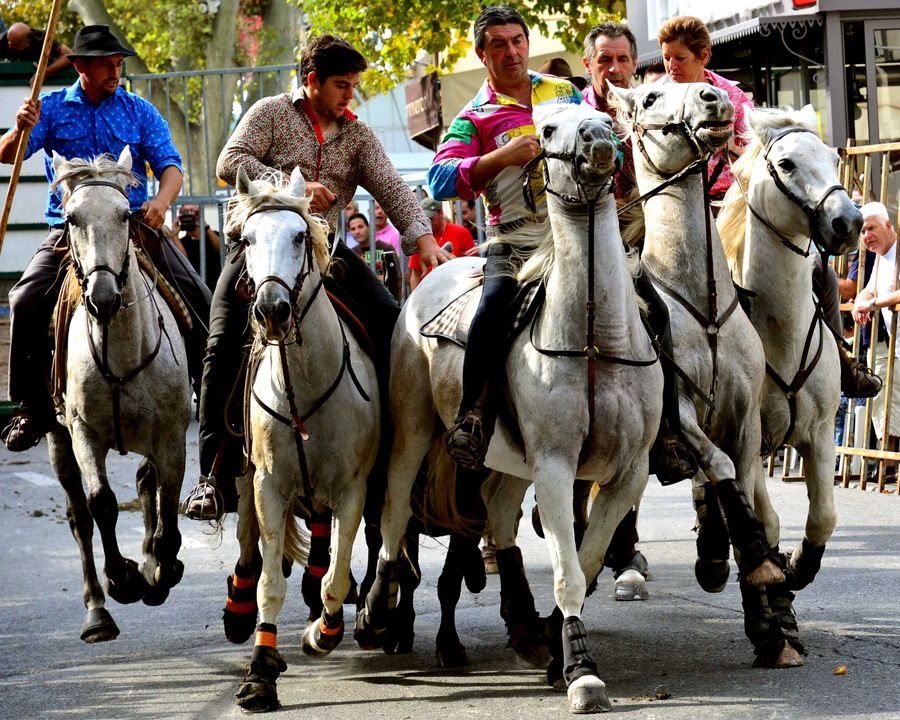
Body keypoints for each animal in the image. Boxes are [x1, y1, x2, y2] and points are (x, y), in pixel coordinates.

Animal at [48, 146, 192, 640]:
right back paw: (97, 608)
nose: (104, 297)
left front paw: (159, 569)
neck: (123, 356)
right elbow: (102, 504)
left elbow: (167, 508)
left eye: (125, 215)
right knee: (79, 517)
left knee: (147, 483)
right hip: (57, 440)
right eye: (71, 217)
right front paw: (122, 579)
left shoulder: (171, 436)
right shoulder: (83, 433)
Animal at [229, 167, 380, 716]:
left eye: (299, 236)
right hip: (243, 477)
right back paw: (237, 605)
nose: (272, 310)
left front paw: (324, 631)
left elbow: (339, 573)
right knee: (248, 547)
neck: (307, 384)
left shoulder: (354, 488)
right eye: (246, 240)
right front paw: (259, 673)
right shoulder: (268, 485)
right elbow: (271, 582)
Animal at [608, 81, 784, 600]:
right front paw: (743, 554)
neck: (703, 311)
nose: (713, 98)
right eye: (649, 99)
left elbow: (739, 480)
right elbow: (719, 464)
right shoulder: (680, 411)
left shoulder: (746, 417)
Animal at [712, 104, 860, 668]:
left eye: (833, 158)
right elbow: (764, 526)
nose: (850, 222)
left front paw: (797, 570)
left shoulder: (819, 435)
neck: (780, 331)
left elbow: (823, 518)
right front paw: (773, 621)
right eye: (788, 164)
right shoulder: (748, 442)